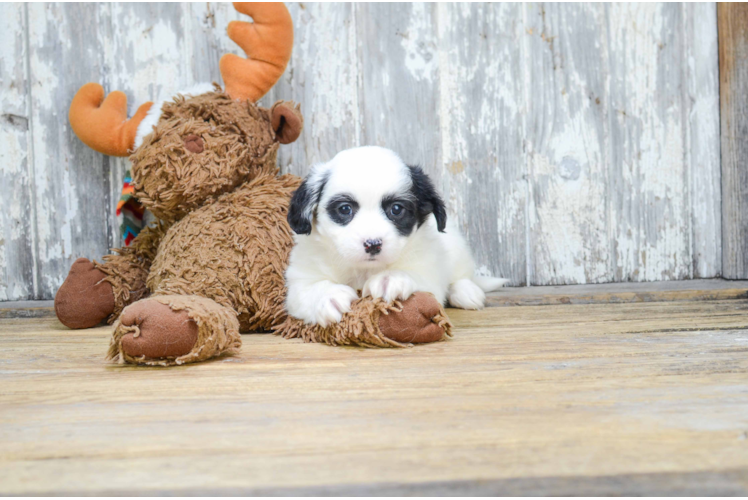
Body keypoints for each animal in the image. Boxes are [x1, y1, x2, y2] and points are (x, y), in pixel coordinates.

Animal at [284, 145, 508, 326]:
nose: (373, 244)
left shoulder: (429, 273)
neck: (364, 269)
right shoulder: (300, 280)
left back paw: (466, 291)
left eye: (396, 209)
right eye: (345, 209)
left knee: (461, 275)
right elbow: (309, 289)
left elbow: (418, 277)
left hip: (457, 249)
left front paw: (390, 279)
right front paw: (327, 297)